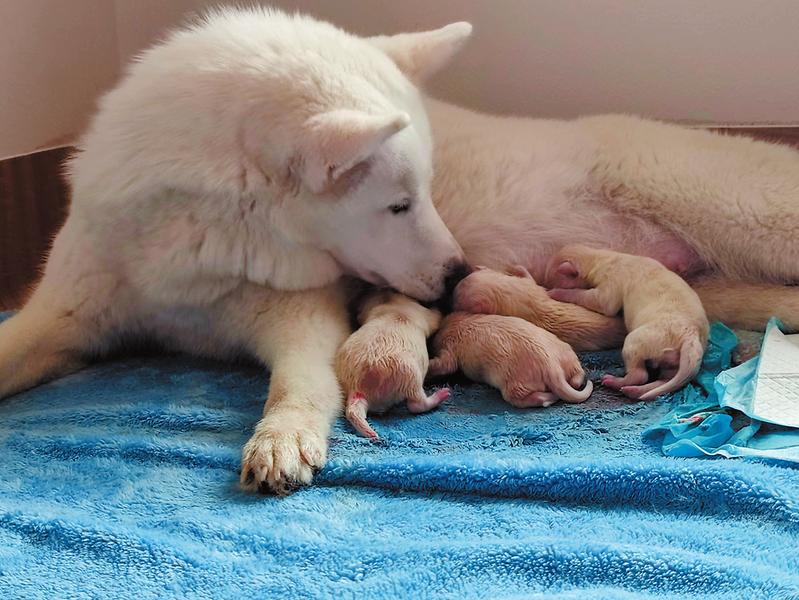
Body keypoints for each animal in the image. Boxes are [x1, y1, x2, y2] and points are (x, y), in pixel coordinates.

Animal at [336, 290, 450, 440]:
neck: (393, 304)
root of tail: (356, 388)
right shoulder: (421, 312)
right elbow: (435, 318)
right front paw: (439, 305)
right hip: (408, 374)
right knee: (416, 405)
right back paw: (441, 395)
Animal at [432, 314, 592, 408]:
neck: (458, 322)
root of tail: (552, 367)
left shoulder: (450, 347)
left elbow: (445, 365)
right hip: (566, 351)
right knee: (576, 377)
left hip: (515, 384)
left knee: (528, 398)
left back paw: (550, 397)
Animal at [548, 241, 708, 400]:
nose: (547, 285)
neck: (602, 258)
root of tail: (690, 337)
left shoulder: (611, 282)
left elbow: (600, 302)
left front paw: (556, 292)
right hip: (671, 361)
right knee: (665, 380)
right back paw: (635, 391)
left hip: (641, 341)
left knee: (640, 375)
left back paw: (615, 382)